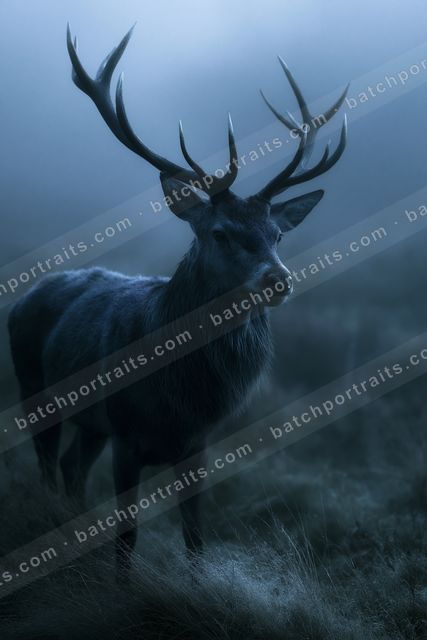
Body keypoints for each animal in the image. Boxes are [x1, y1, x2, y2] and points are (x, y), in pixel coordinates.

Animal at [8, 25, 348, 579]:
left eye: (277, 234)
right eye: (221, 232)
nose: (278, 280)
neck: (180, 396)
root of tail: (22, 298)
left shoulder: (198, 445)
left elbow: (195, 538)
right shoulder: (126, 435)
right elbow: (127, 536)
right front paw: (121, 586)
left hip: (89, 423)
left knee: (72, 467)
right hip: (35, 389)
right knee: (48, 467)